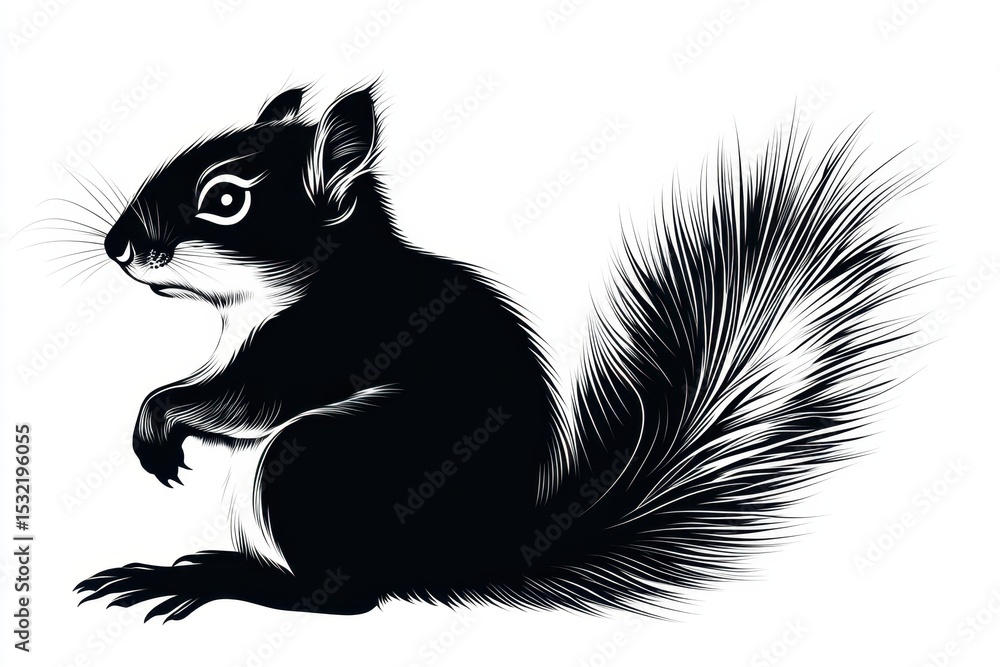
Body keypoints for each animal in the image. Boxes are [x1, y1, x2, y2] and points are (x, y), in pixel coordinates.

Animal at [74, 81, 920, 622]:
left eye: (225, 198)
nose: (119, 246)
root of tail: (473, 558)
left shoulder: (328, 338)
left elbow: (248, 398)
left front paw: (159, 420)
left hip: (316, 460)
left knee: (342, 595)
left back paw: (221, 579)